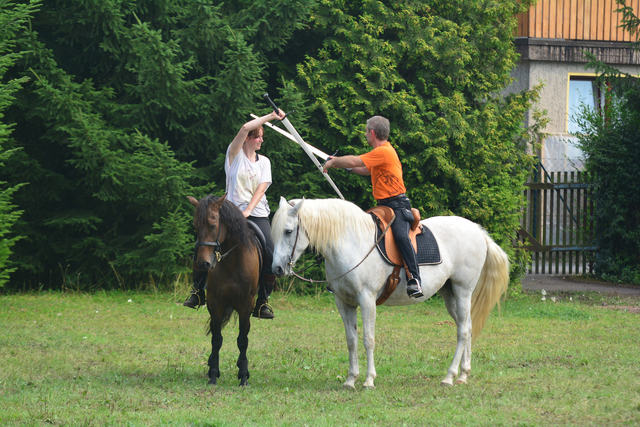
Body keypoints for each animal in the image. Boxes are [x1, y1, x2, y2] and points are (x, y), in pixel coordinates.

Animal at [186, 196, 262, 386]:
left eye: (213, 224)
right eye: (195, 226)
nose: (203, 263)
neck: (232, 262)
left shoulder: (245, 305)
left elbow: (242, 340)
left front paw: (243, 376)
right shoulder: (215, 303)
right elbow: (216, 339)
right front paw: (213, 373)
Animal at [272, 196, 510, 390]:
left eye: (288, 231)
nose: (277, 269)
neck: (351, 243)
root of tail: (478, 232)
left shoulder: (367, 299)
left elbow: (368, 339)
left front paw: (369, 380)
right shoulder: (343, 302)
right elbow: (351, 340)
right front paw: (350, 379)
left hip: (463, 290)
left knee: (463, 331)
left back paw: (449, 377)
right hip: (450, 294)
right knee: (467, 326)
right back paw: (463, 375)